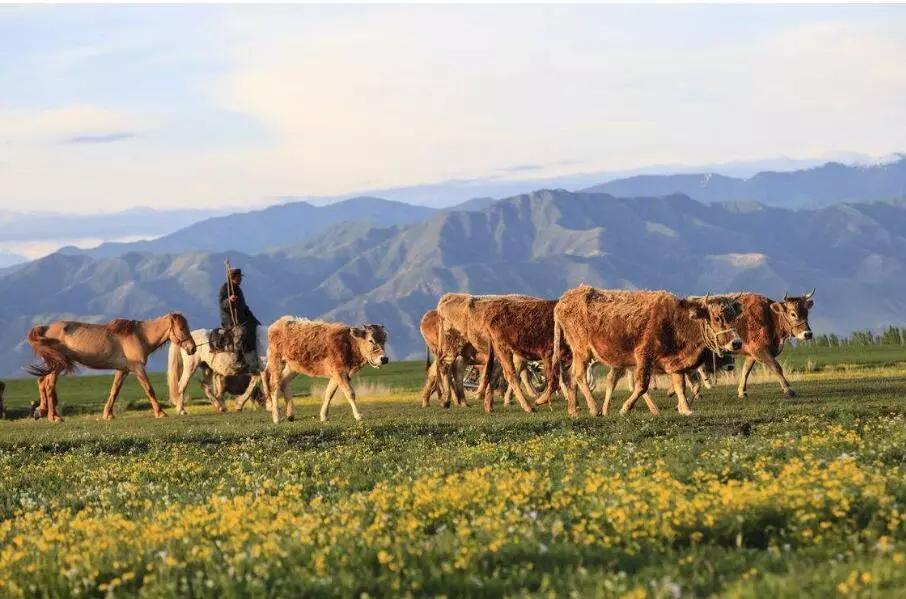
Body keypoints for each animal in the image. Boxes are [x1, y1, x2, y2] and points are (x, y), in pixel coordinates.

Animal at [26, 314, 196, 422]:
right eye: (182, 328)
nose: (192, 348)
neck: (140, 336)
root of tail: (45, 328)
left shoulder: (123, 370)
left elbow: (114, 391)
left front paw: (107, 415)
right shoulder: (137, 368)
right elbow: (149, 390)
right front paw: (160, 413)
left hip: (54, 365)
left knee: (42, 382)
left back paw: (41, 411)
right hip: (58, 365)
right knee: (48, 386)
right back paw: (54, 417)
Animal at [552, 288, 740, 420]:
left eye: (734, 317)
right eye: (717, 317)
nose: (737, 342)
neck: (676, 321)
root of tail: (564, 300)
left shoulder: (675, 363)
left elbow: (680, 386)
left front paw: (685, 409)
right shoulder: (644, 356)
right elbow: (642, 385)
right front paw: (625, 408)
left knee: (570, 378)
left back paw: (573, 410)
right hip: (582, 351)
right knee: (579, 376)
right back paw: (594, 408)